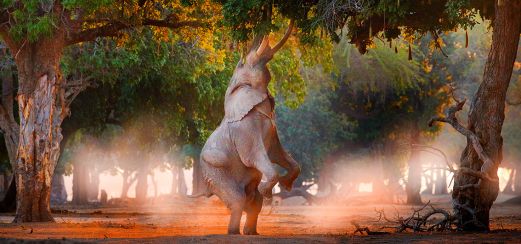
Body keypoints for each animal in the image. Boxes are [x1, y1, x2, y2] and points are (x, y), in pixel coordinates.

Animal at [193, 20, 300, 234]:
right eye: (244, 62)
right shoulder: (244, 130)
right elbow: (253, 155)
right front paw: (267, 190)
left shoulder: (272, 129)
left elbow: (277, 152)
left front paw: (286, 184)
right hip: (214, 171)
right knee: (238, 199)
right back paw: (234, 232)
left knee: (253, 202)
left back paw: (252, 231)